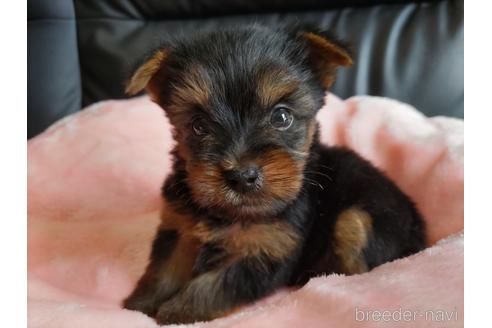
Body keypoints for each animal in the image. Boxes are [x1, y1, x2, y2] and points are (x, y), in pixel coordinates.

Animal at [121, 24, 424, 324]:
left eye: (281, 117)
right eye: (198, 125)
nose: (242, 175)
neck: (232, 213)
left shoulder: (270, 248)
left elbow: (216, 284)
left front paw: (177, 312)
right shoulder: (179, 225)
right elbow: (165, 268)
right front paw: (139, 305)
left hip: (358, 220)